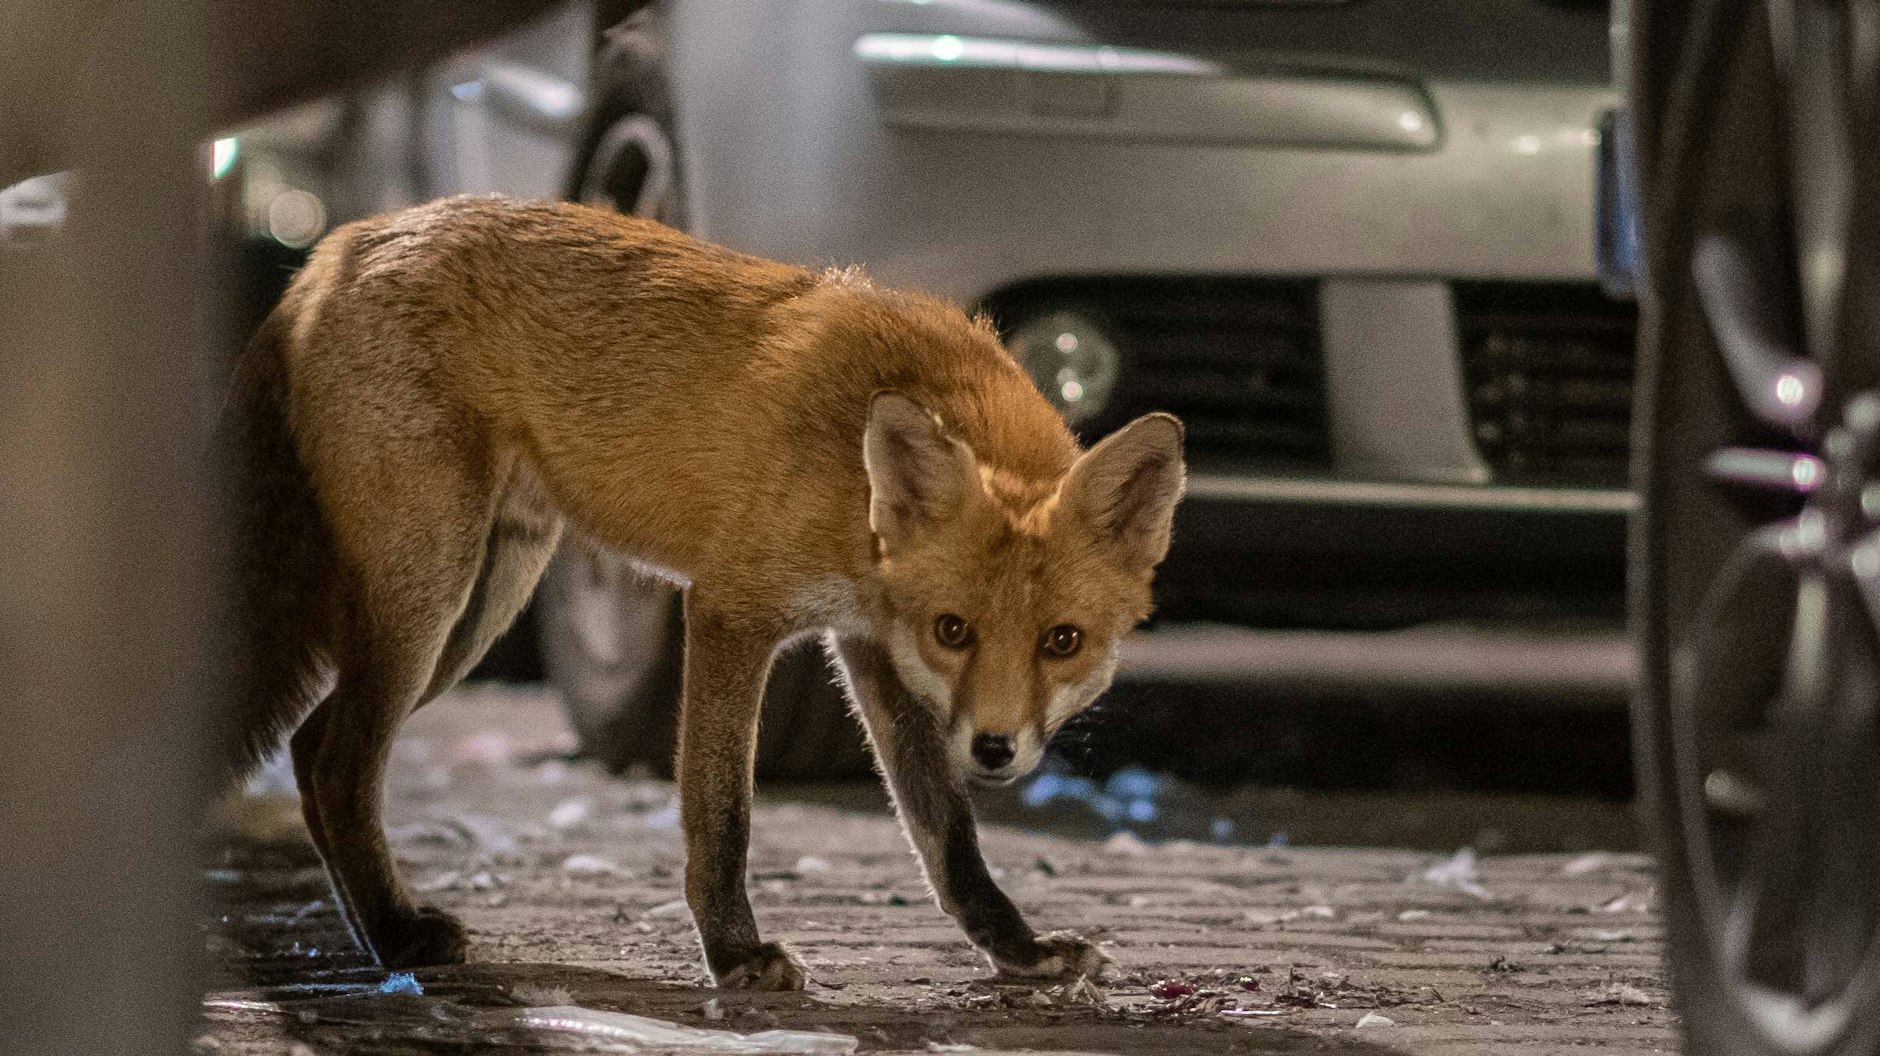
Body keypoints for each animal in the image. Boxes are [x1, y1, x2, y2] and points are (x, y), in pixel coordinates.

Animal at [223, 194, 1186, 990]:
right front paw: (734, 954)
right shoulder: (731, 609)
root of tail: (338, 245)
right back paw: (394, 937)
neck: (859, 495)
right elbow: (723, 814)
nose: (993, 750)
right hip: (430, 595)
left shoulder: (873, 646)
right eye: (955, 629)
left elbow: (948, 838)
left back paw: (375, 931)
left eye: (1062, 641)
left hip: (479, 607)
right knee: (340, 761)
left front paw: (1016, 951)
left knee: (311, 747)